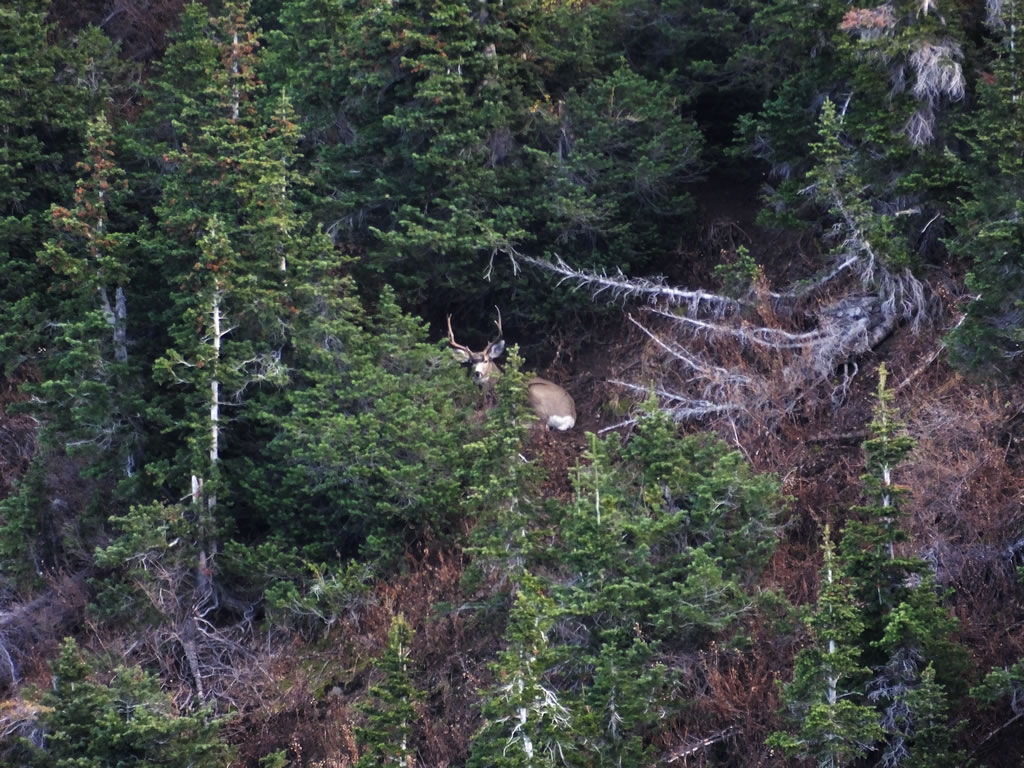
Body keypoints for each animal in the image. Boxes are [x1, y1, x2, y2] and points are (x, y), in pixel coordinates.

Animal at [447, 311, 576, 431]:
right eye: (471, 362)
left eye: (486, 360)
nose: (477, 373)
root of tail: (571, 417)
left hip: (533, 391)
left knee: (540, 425)